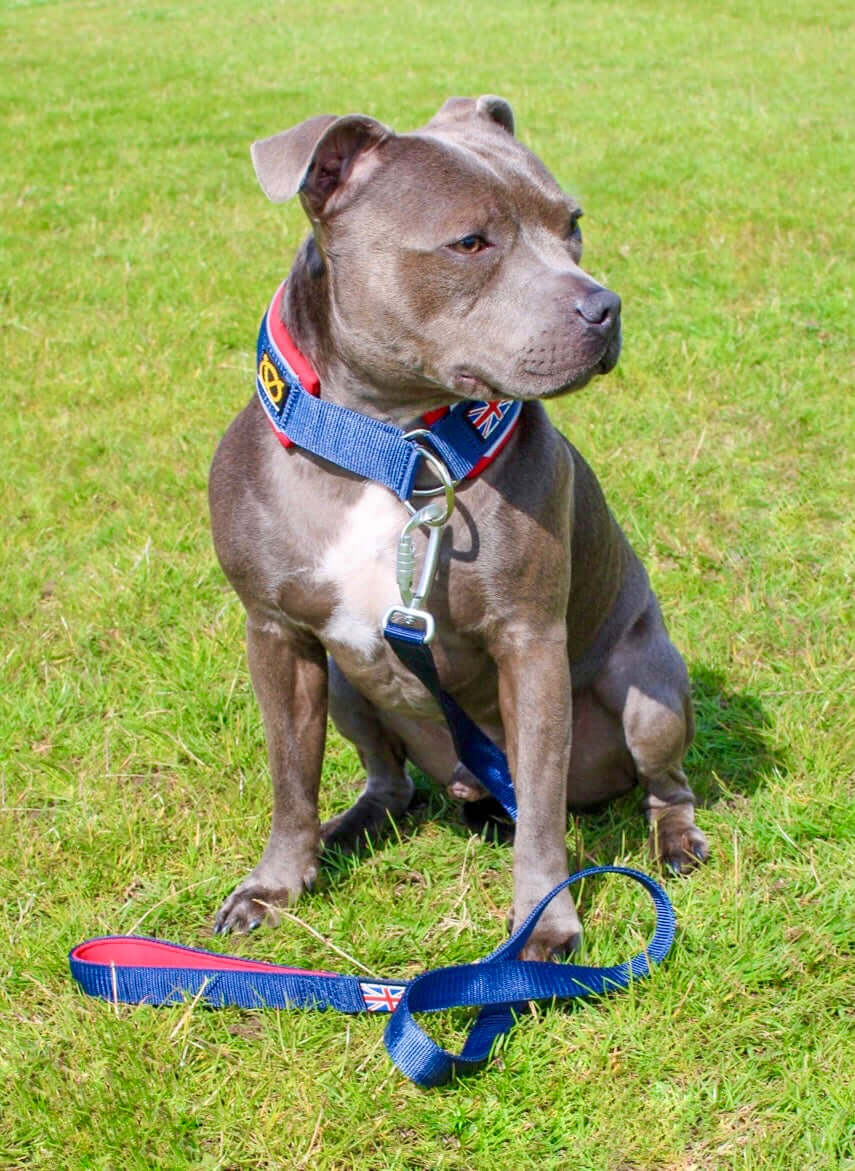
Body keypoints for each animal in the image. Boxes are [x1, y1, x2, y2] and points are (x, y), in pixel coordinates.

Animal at [206, 96, 707, 960]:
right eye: (469, 243)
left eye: (571, 223)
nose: (604, 305)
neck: (392, 444)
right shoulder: (276, 634)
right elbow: (289, 777)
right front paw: (276, 882)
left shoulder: (528, 643)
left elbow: (539, 806)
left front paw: (544, 922)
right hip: (346, 682)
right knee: (390, 779)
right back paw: (351, 827)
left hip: (645, 686)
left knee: (658, 779)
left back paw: (674, 838)